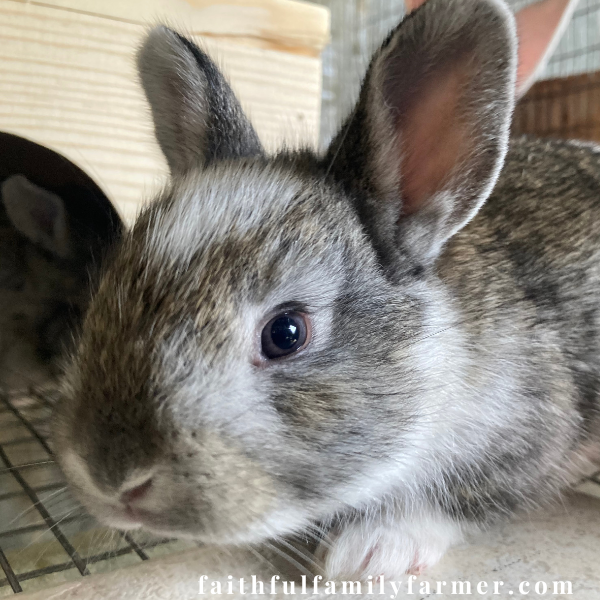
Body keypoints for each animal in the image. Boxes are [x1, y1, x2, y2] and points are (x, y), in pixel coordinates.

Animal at [52, 0, 600, 580]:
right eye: (105, 296)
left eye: (287, 333)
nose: (110, 477)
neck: (439, 355)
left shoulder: (536, 424)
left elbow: (467, 499)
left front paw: (370, 549)